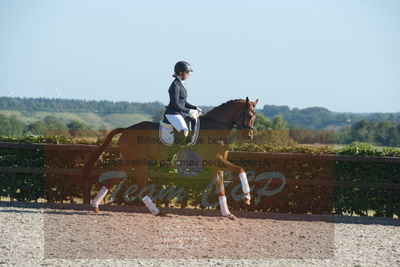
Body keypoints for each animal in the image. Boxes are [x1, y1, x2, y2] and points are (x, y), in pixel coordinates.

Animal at [82, 98, 258, 220]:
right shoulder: (215, 161)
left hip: (129, 162)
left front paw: (227, 213)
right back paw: (158, 212)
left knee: (114, 179)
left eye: (254, 117)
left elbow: (221, 187)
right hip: (139, 163)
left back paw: (95, 206)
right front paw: (247, 198)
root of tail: (126, 130)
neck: (215, 128)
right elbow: (241, 169)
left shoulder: (217, 164)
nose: (249, 136)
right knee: (140, 186)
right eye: (249, 115)